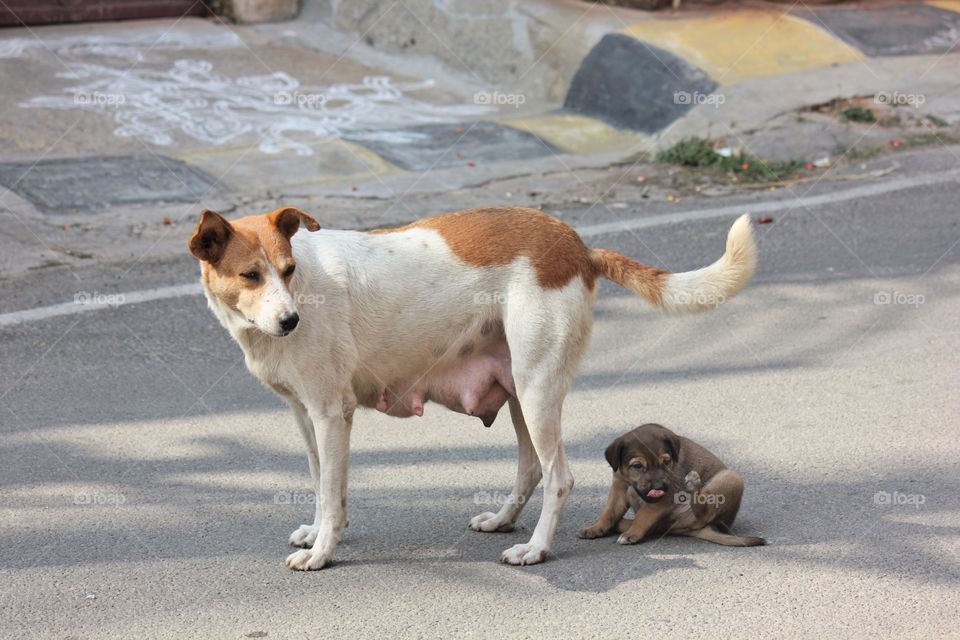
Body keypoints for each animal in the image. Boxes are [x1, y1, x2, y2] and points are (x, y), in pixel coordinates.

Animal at [576, 424, 764, 544]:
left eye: (666, 462)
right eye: (637, 466)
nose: (658, 488)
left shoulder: (664, 497)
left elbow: (644, 515)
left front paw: (632, 533)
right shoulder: (619, 487)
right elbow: (609, 512)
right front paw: (596, 528)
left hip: (731, 478)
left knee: (704, 510)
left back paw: (694, 485)